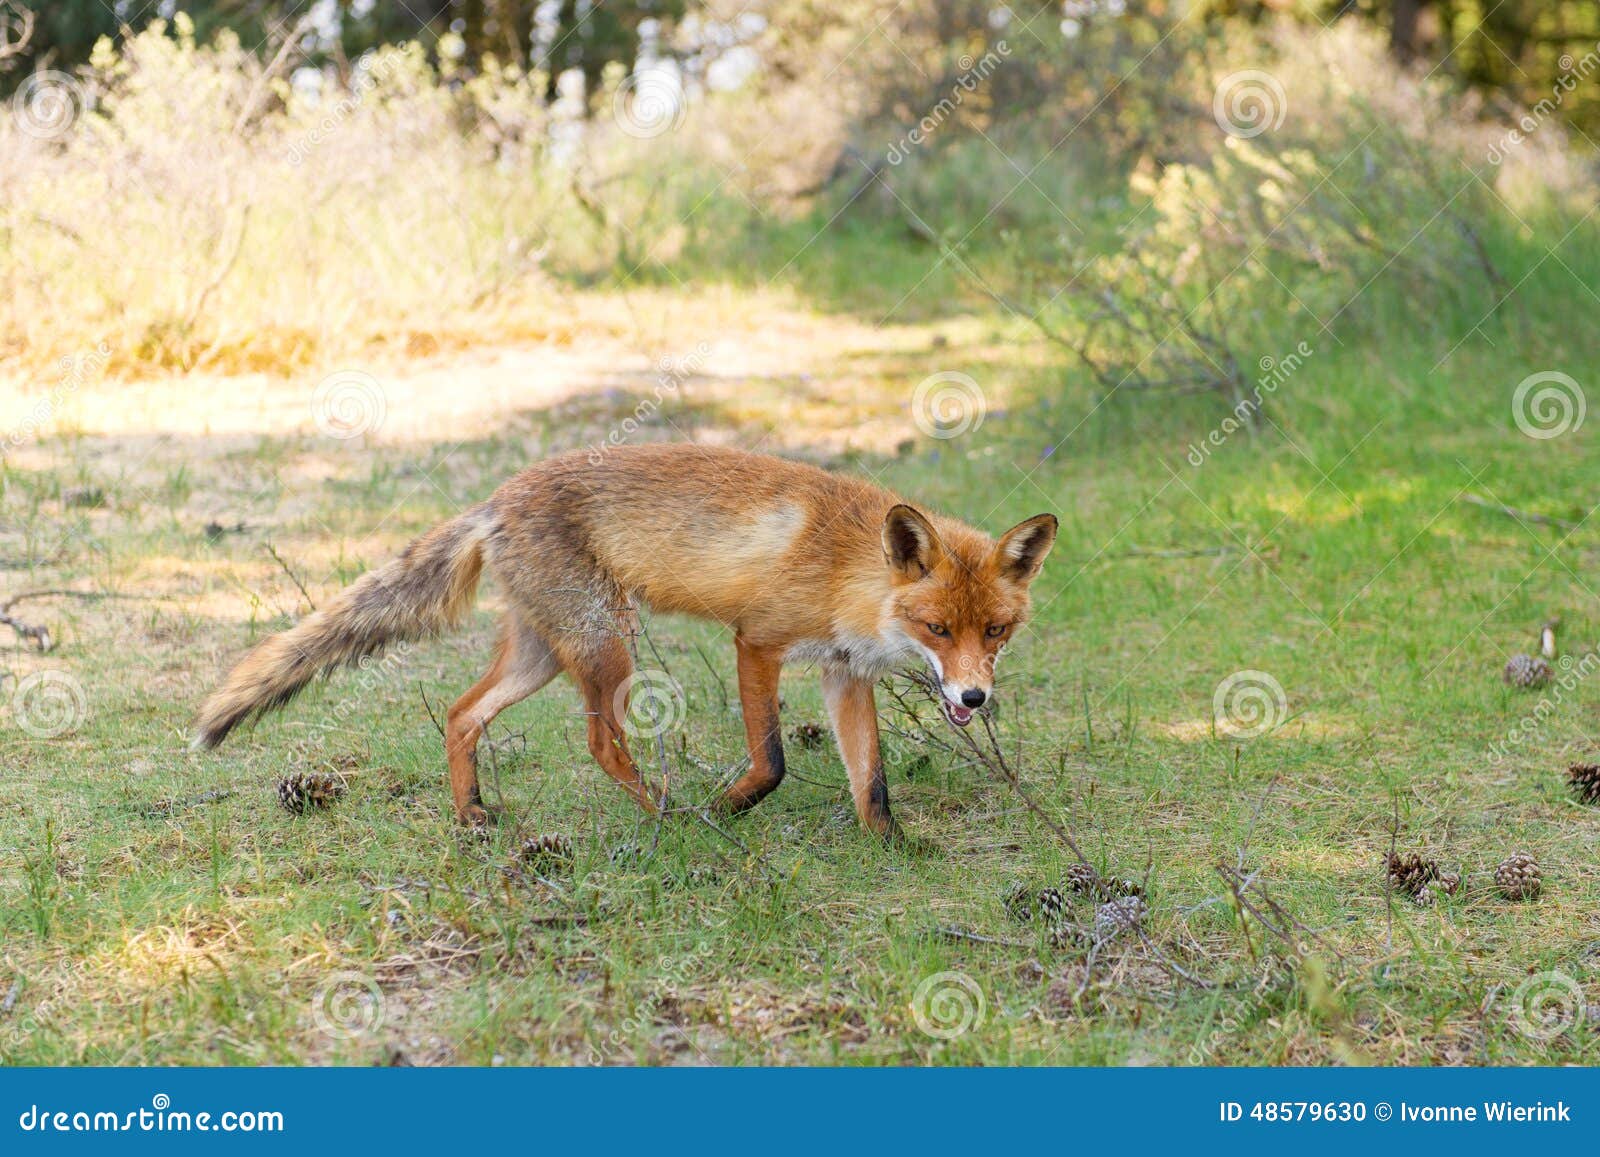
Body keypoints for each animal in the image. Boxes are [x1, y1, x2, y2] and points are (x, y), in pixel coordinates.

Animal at [193, 443, 1057, 842]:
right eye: (937, 628)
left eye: (996, 629)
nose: (974, 695)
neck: (851, 571)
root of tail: (496, 498)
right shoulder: (757, 641)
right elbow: (773, 762)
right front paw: (728, 807)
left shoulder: (846, 675)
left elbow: (870, 781)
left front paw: (895, 848)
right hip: (607, 642)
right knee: (602, 743)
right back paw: (669, 817)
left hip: (544, 651)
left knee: (462, 713)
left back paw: (472, 814)